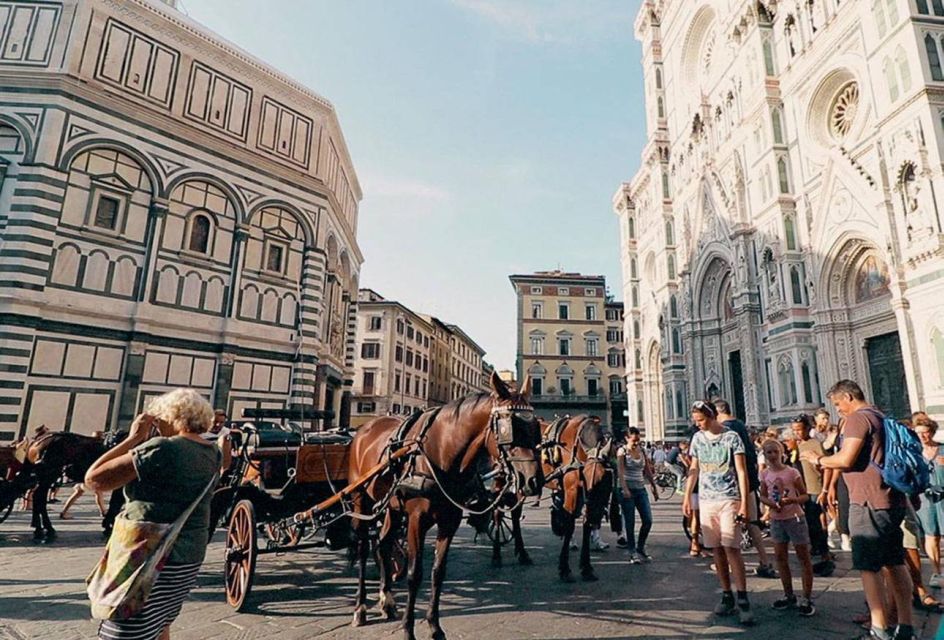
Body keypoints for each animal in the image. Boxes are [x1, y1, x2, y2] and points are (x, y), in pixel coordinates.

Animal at [346, 370, 544, 640]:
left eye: (535, 427)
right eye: (509, 429)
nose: (534, 480)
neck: (440, 451)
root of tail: (364, 429)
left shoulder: (449, 521)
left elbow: (438, 573)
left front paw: (434, 626)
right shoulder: (416, 520)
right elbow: (414, 574)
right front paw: (408, 630)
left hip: (392, 507)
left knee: (383, 544)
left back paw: (387, 600)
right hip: (361, 500)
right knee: (363, 547)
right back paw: (360, 608)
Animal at [494, 416, 612, 584]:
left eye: (604, 479)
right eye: (586, 477)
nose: (596, 513)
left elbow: (586, 525)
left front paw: (586, 568)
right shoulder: (572, 489)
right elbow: (569, 525)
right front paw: (564, 569)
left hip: (522, 484)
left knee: (515, 514)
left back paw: (522, 554)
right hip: (501, 479)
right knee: (497, 511)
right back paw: (497, 555)